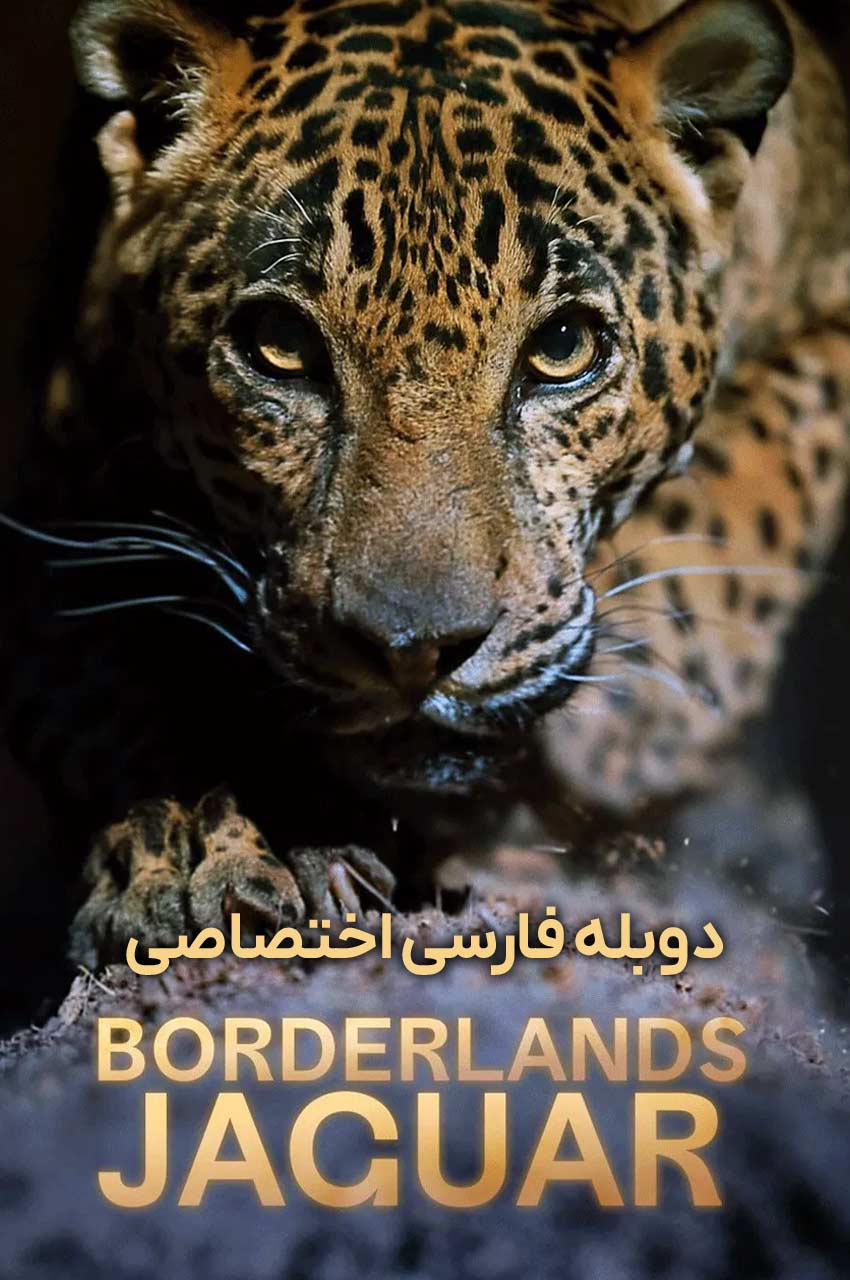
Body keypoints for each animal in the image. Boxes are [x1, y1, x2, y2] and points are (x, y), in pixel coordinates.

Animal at [3, 0, 850, 968]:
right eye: (279, 347)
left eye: (564, 347)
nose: (414, 651)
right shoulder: (57, 492)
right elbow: (114, 687)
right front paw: (194, 846)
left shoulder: (831, 316)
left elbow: (745, 503)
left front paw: (627, 723)